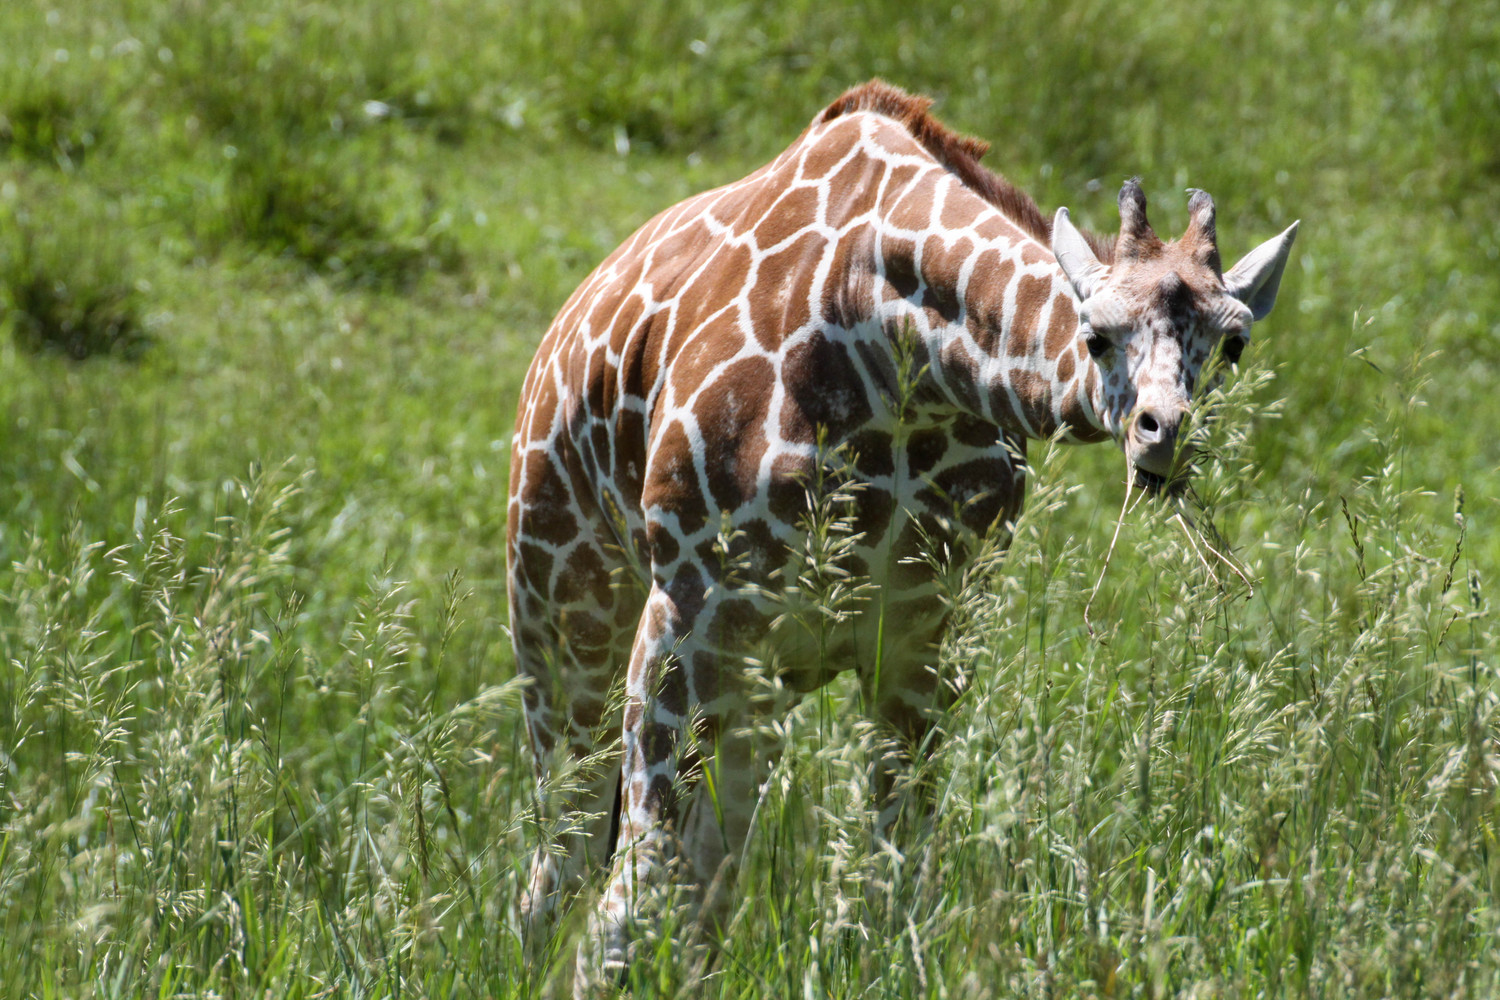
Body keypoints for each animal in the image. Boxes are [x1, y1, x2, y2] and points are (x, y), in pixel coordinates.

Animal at [504, 82, 1290, 989]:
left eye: (1233, 345)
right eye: (1095, 334)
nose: (1164, 438)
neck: (892, 347)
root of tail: (562, 329)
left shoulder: (924, 639)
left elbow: (889, 894)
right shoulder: (688, 610)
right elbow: (628, 906)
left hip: (758, 682)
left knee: (706, 879)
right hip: (565, 607)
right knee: (563, 864)